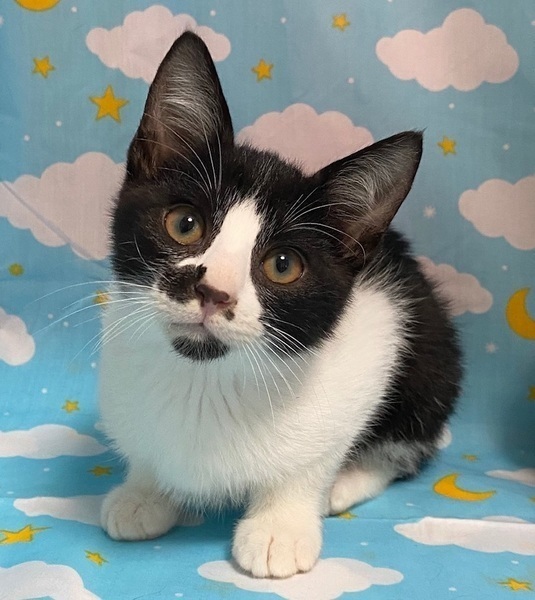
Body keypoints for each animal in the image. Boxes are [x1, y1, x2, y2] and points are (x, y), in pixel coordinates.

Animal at [99, 31, 462, 578]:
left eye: (283, 265)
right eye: (184, 224)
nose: (213, 292)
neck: (205, 381)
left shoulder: (378, 339)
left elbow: (313, 459)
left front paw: (280, 526)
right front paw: (143, 492)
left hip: (433, 361)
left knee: (415, 441)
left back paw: (347, 483)